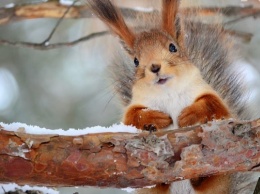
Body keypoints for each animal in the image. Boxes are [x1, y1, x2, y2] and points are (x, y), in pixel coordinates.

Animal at [86, 0, 256, 193]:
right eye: (136, 61)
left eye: (172, 47)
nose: (154, 67)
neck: (168, 92)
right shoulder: (135, 106)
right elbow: (132, 117)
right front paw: (154, 117)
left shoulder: (209, 95)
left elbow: (215, 106)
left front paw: (190, 114)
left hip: (219, 174)